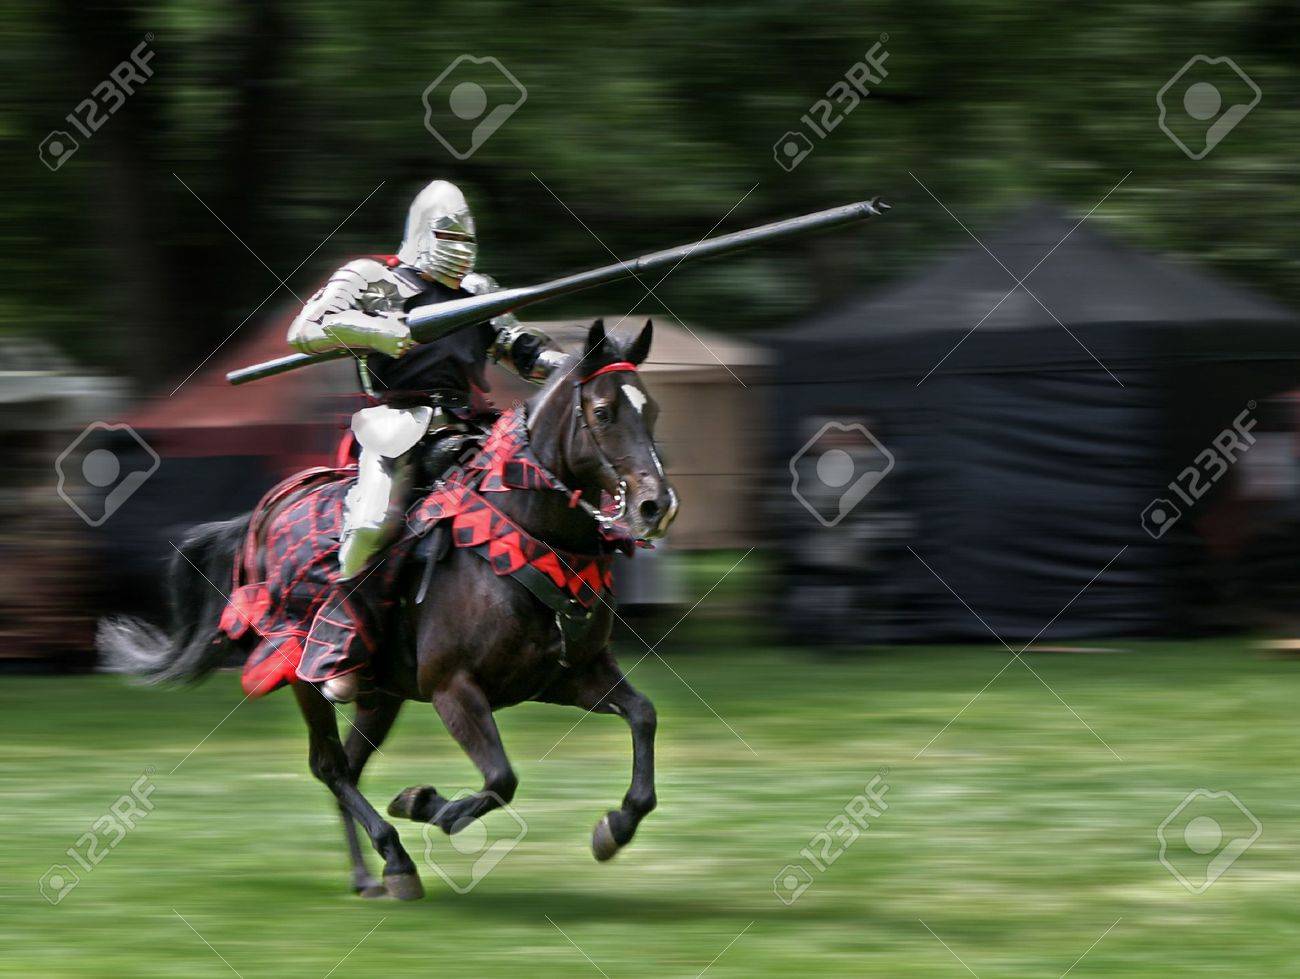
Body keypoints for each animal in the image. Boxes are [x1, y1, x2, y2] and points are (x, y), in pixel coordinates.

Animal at [101, 319, 678, 900]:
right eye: (602, 412)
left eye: (651, 409)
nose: (655, 506)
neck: (526, 537)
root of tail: (266, 511)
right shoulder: (454, 689)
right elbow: (500, 780)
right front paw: (423, 803)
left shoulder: (569, 677)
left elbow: (644, 715)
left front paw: (615, 826)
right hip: (303, 674)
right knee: (330, 767)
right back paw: (393, 858)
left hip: (382, 696)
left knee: (348, 769)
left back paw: (370, 874)